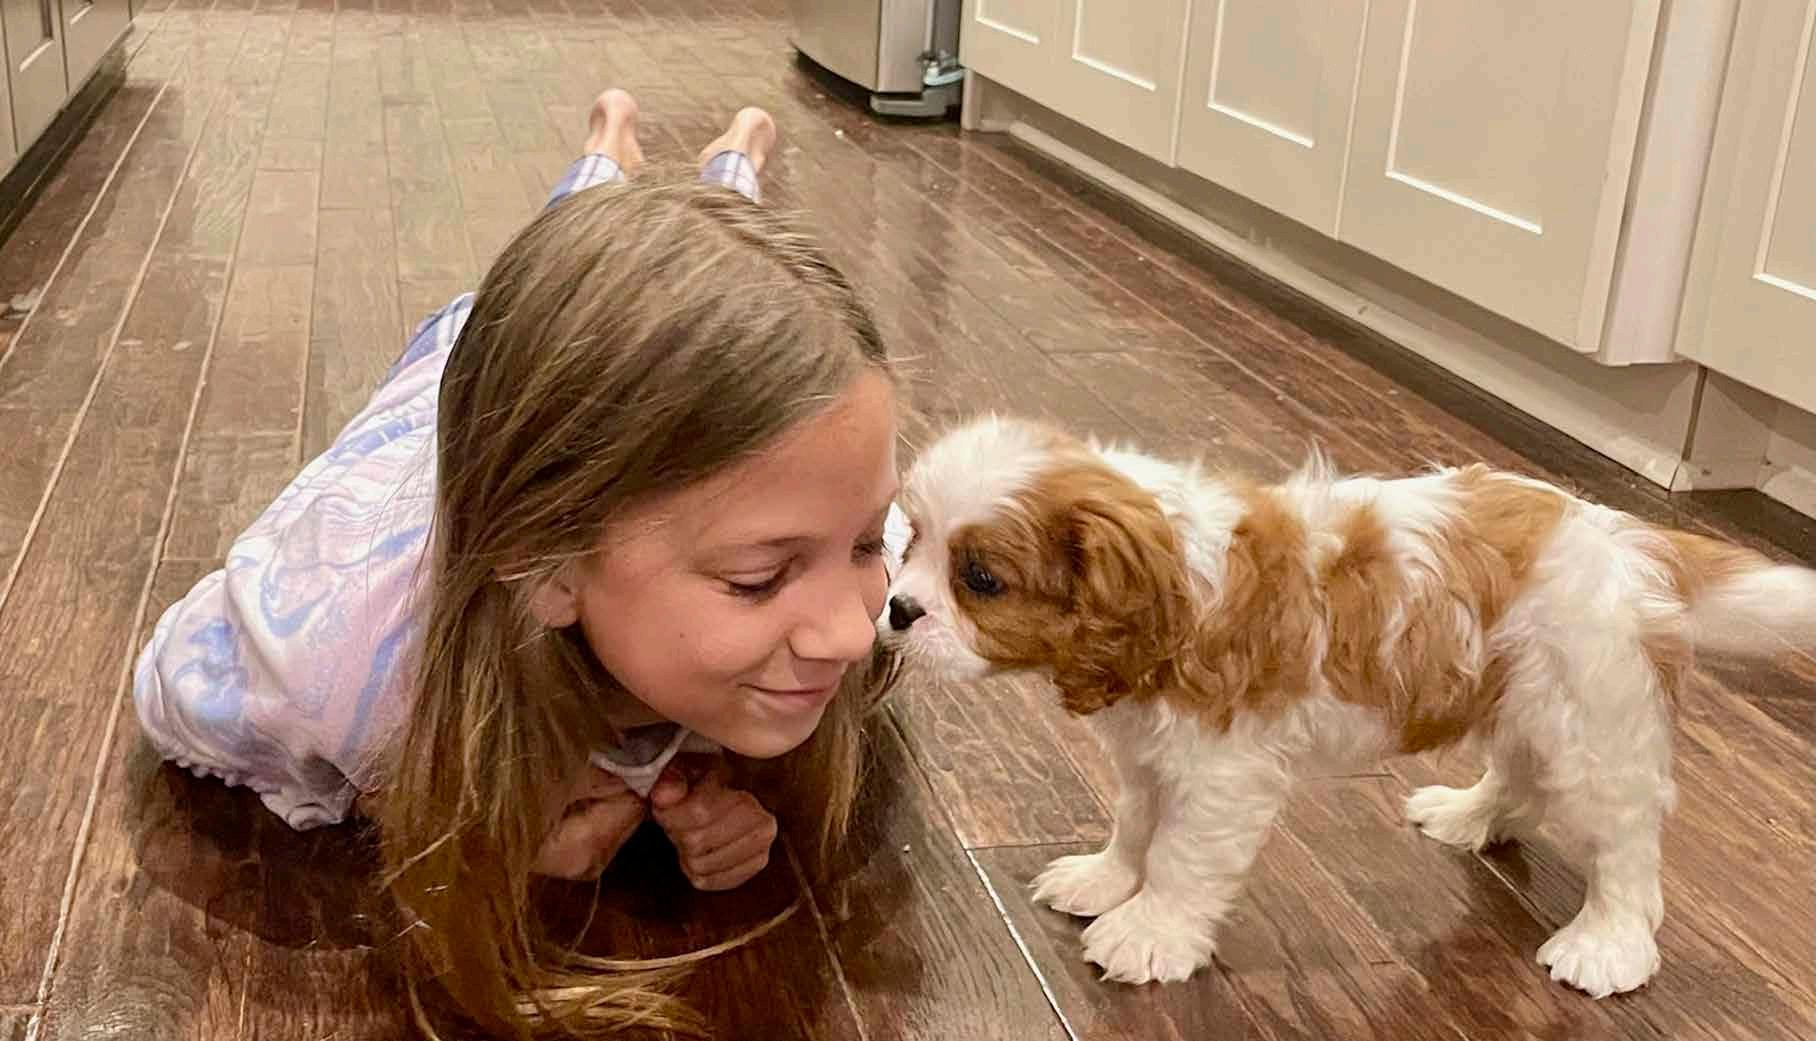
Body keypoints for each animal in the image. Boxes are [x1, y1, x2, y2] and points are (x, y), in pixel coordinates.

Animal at [879, 414, 1816, 998]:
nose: (895, 608)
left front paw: (1148, 932)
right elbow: (1137, 822)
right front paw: (1105, 879)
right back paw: (1472, 815)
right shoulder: (1150, 749)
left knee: (1624, 842)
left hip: (1588, 714)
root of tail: (1635, 541)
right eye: (908, 542)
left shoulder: (1223, 772)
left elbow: (1180, 854)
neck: (1175, 576)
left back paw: (1606, 944)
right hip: (1521, 694)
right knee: (1520, 774)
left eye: (981, 580)